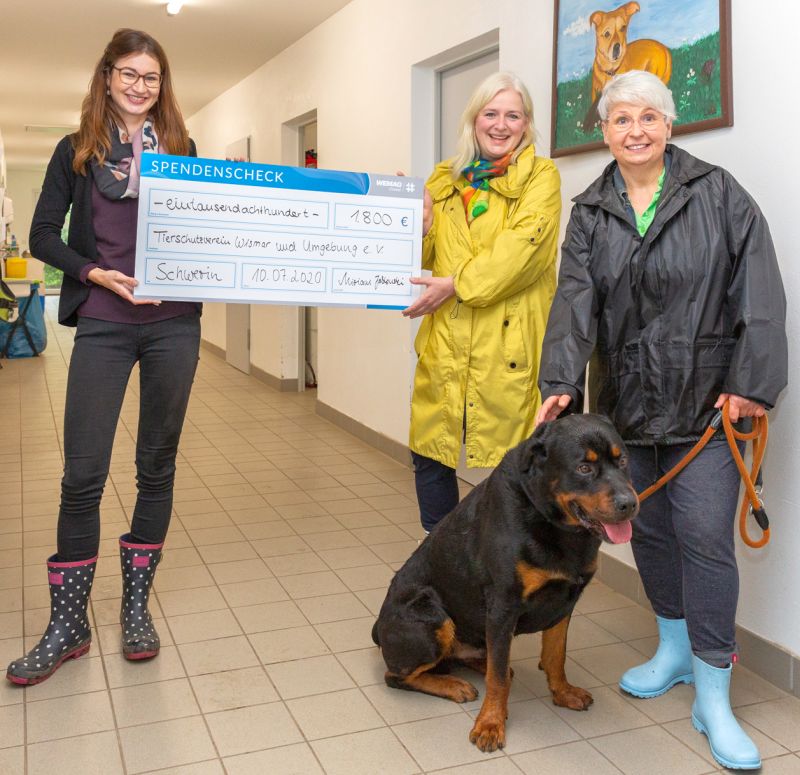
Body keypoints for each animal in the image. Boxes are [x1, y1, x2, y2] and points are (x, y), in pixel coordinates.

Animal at [372, 416, 640, 756]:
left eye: (623, 461)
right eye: (583, 468)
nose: (630, 503)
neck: (552, 523)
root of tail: (378, 628)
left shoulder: (565, 601)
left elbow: (555, 656)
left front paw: (562, 692)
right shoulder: (503, 606)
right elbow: (497, 680)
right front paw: (490, 723)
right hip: (431, 616)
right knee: (397, 676)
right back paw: (453, 685)